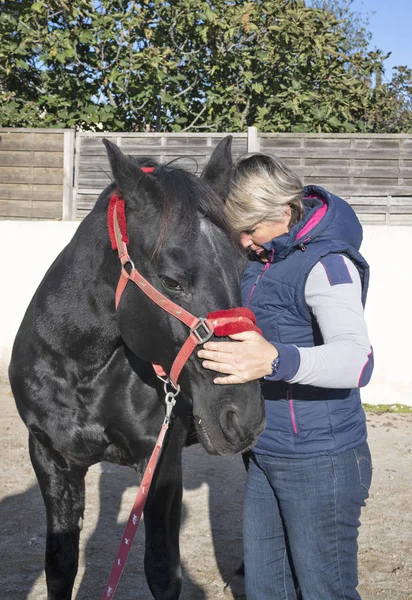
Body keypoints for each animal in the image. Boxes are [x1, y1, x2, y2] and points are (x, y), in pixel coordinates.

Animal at [8, 137, 264, 600]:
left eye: (243, 267)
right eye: (172, 280)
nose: (243, 414)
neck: (81, 371)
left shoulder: (160, 463)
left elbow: (162, 570)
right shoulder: (51, 458)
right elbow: (59, 563)